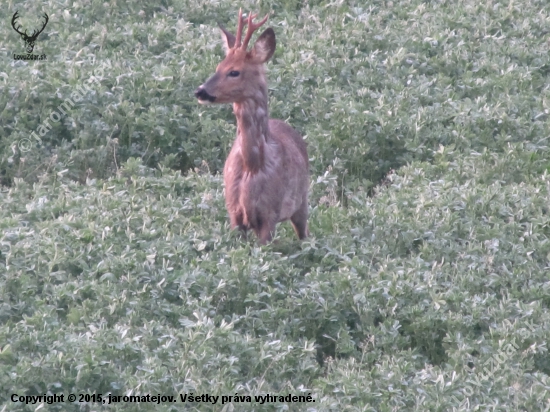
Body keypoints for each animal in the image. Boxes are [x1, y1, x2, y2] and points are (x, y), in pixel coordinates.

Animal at [195, 9, 310, 245]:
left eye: (234, 72)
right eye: (218, 67)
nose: (200, 91)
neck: (252, 166)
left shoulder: (270, 212)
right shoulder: (234, 212)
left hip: (302, 200)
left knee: (304, 233)